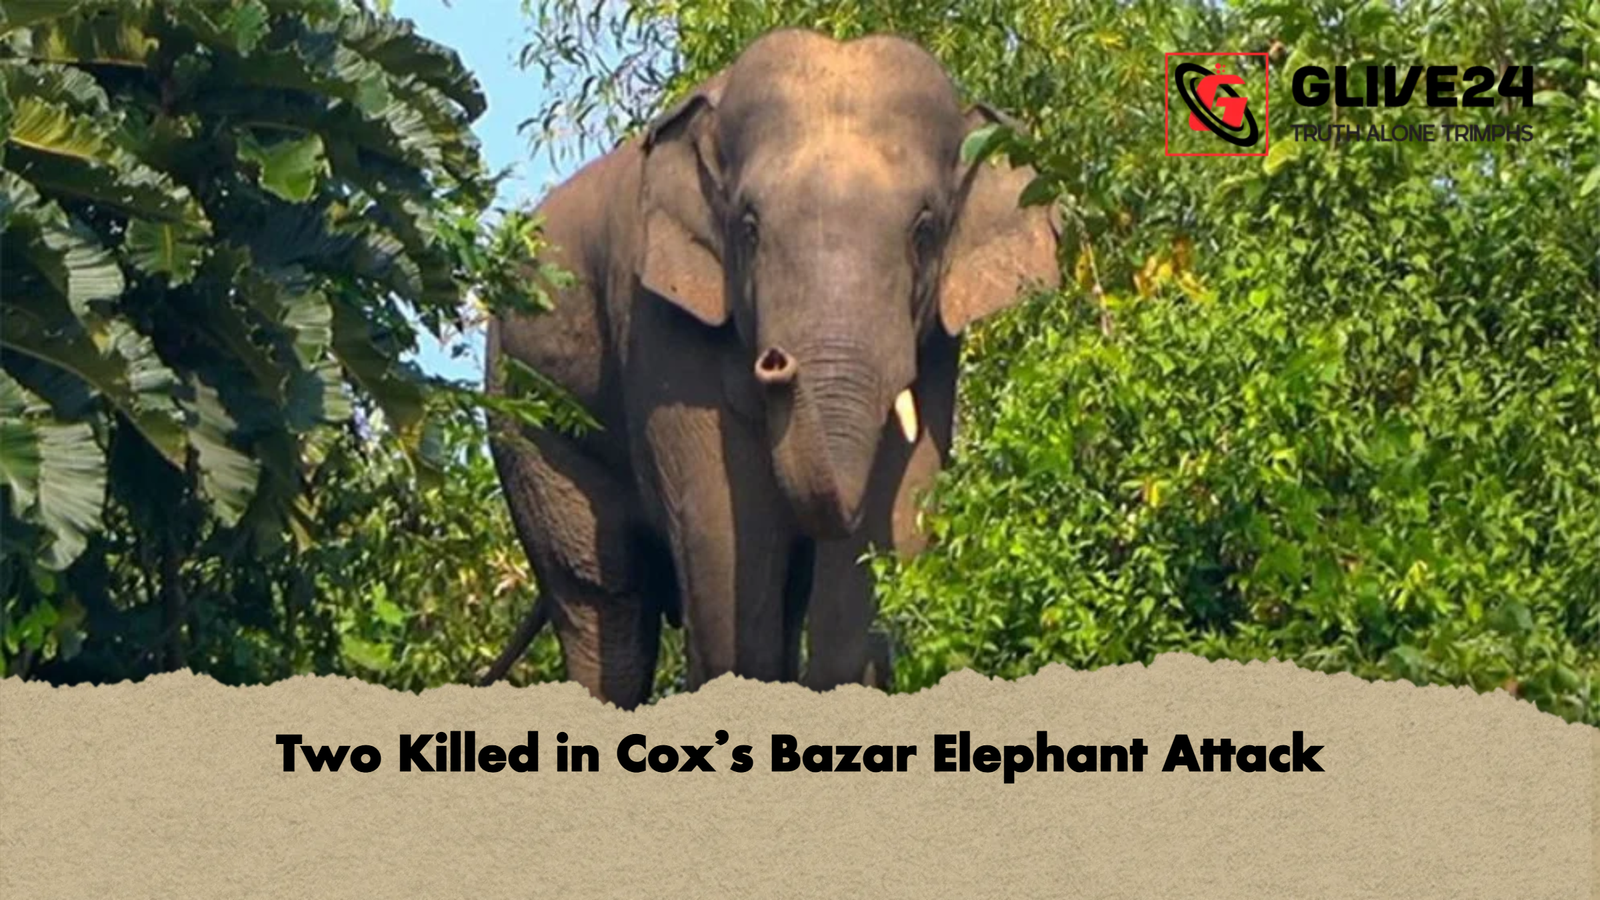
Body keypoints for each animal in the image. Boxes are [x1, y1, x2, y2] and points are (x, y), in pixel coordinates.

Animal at [483, 27, 1061, 709]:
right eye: (749, 228)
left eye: (925, 231)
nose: (778, 361)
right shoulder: (657, 321)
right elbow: (722, 535)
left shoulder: (940, 341)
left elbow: (901, 504)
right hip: (523, 409)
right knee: (603, 600)